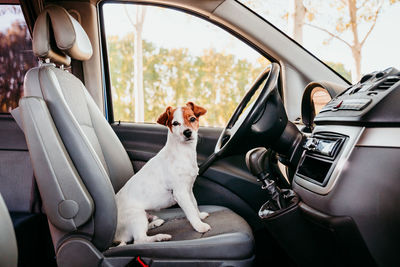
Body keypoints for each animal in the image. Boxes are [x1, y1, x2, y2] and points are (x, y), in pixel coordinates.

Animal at [114, 101, 211, 246]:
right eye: (175, 123)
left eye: (192, 119)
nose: (187, 132)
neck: (183, 152)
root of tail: (114, 237)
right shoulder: (180, 193)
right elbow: (190, 211)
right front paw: (199, 226)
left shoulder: (189, 190)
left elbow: (194, 205)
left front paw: (200, 216)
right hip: (137, 216)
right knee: (140, 240)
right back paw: (160, 237)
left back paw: (155, 223)